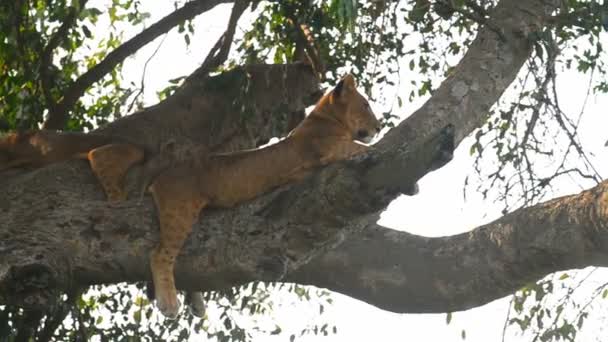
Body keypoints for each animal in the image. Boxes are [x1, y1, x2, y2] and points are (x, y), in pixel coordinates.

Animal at [146, 74, 380, 318]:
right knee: (160, 254)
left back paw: (197, 304)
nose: (379, 127)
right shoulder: (331, 149)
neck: (328, 118)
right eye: (366, 105)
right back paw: (169, 303)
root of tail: (159, 176)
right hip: (179, 209)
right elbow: (364, 148)